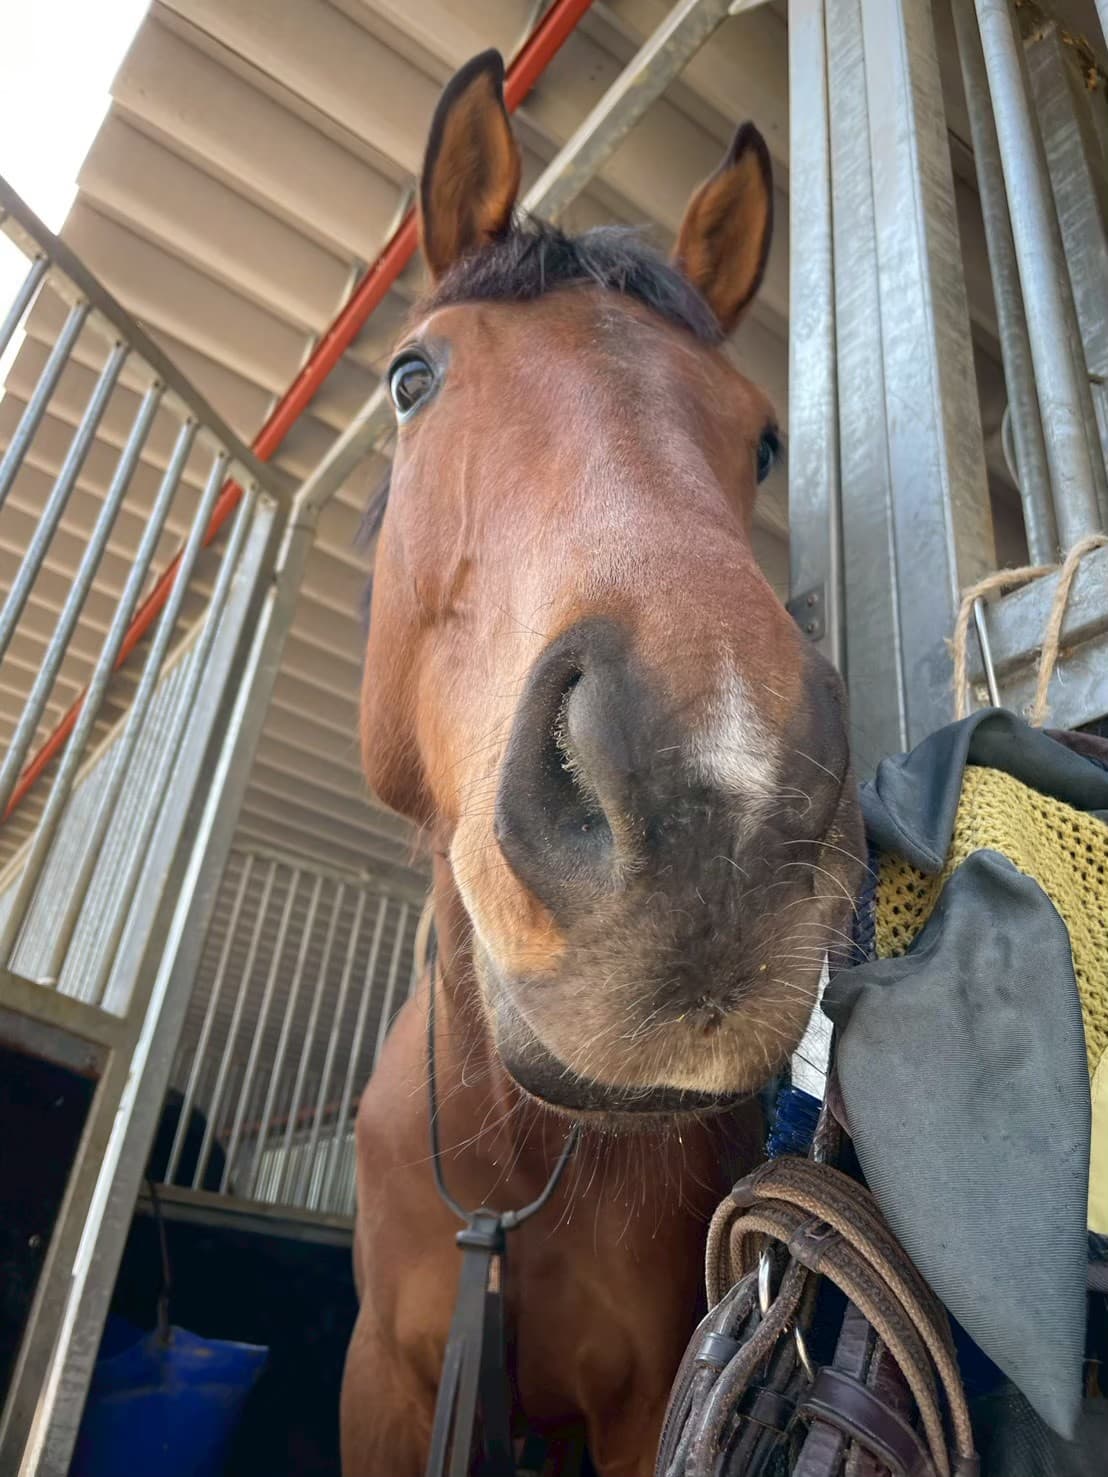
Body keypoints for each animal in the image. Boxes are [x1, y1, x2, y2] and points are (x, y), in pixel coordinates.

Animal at [341, 49, 863, 1477]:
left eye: (763, 439)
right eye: (412, 378)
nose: (722, 797)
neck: (511, 1176)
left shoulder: (650, 1400)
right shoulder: (382, 1379)